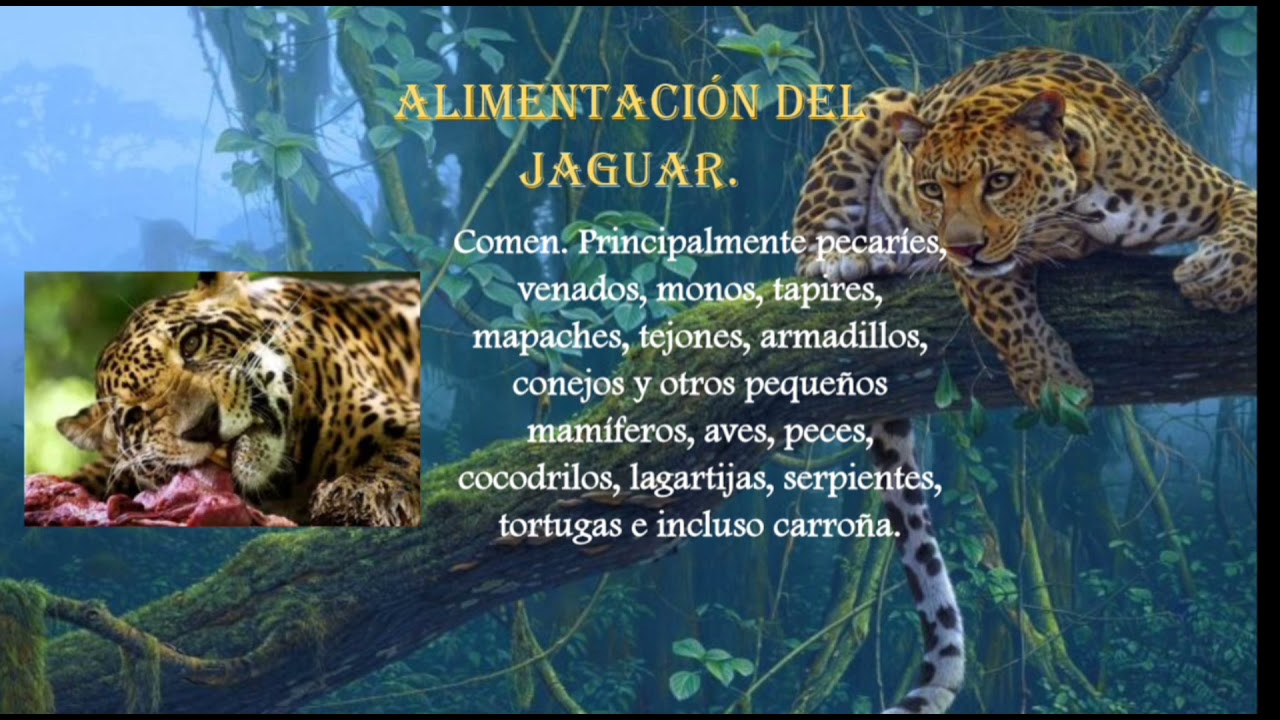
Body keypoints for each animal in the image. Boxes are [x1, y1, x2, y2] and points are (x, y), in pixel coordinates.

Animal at [53, 272, 423, 527]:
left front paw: (360, 493)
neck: (285, 483)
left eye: (191, 343)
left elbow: (403, 453)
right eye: (134, 417)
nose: (204, 425)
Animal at [792, 48, 1257, 713]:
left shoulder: (1220, 186)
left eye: (999, 181)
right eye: (931, 188)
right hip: (881, 102)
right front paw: (1053, 383)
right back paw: (852, 255)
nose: (960, 246)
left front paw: (1220, 276)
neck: (1086, 199)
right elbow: (1004, 309)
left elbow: (1248, 220)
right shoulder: (979, 271)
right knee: (808, 243)